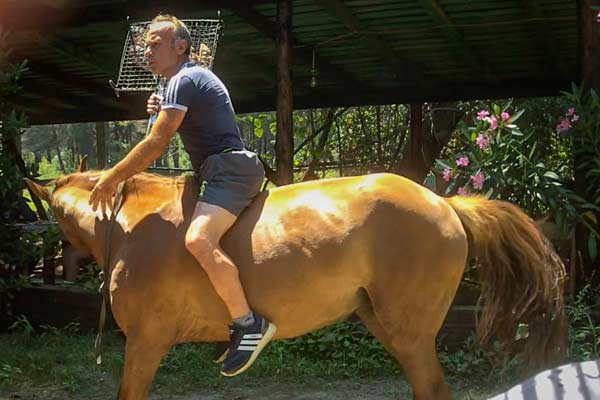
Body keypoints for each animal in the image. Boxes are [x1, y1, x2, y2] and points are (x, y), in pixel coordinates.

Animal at [24, 168, 568, 400]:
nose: (58, 267)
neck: (128, 227)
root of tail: (444, 203)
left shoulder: (145, 342)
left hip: (410, 332)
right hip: (386, 324)